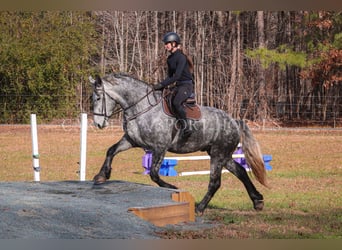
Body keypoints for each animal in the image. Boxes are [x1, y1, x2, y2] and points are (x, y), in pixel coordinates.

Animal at [89, 73, 266, 214]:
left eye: (98, 98)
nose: (98, 124)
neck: (142, 108)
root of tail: (234, 121)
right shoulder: (131, 140)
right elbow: (111, 151)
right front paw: (101, 176)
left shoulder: (160, 148)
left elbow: (154, 174)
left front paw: (172, 188)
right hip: (223, 155)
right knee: (241, 172)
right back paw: (257, 200)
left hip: (218, 155)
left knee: (215, 182)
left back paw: (200, 208)